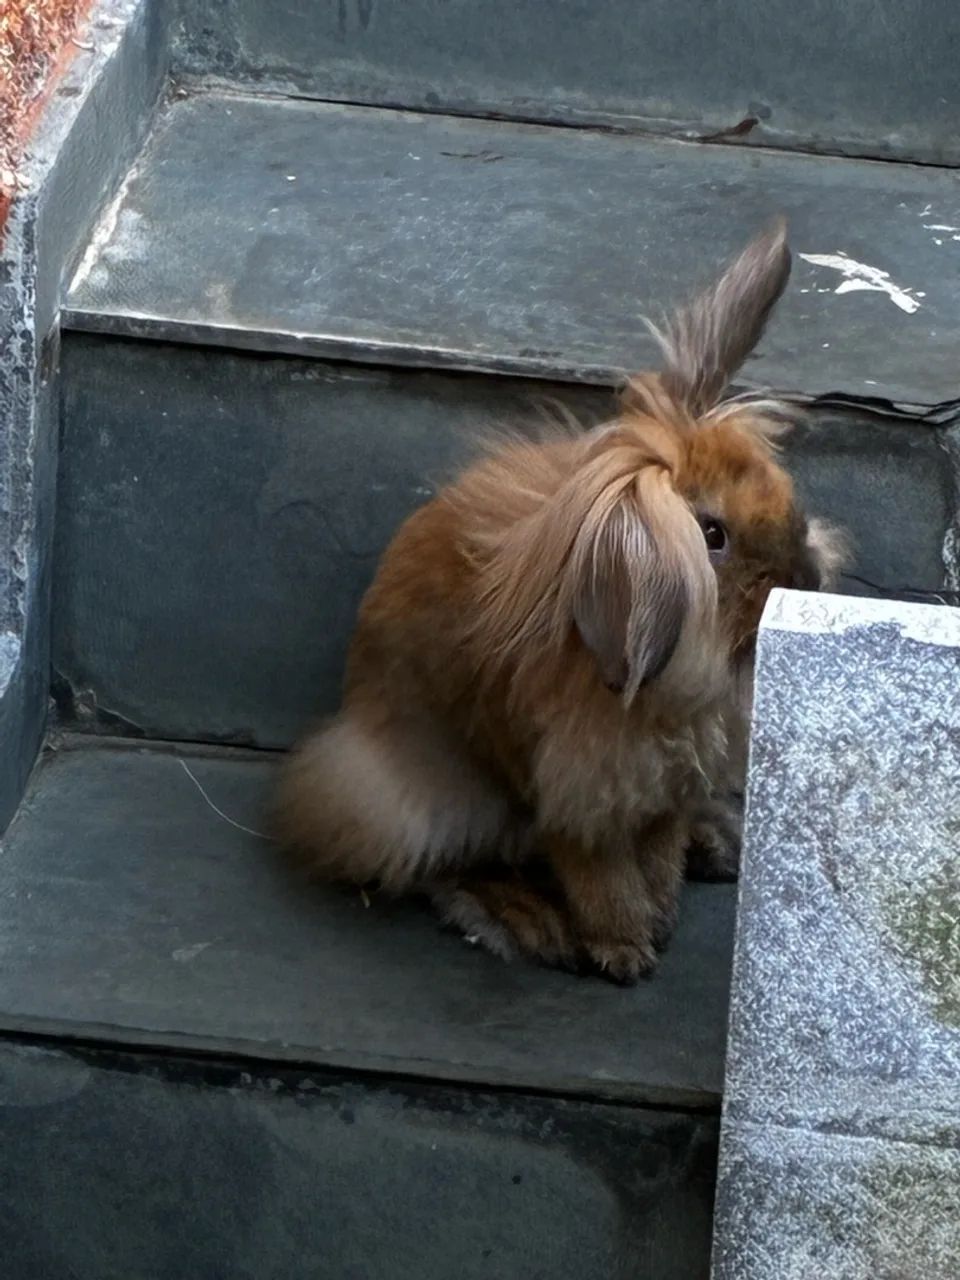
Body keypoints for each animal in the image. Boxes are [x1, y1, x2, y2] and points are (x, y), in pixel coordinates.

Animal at [276, 219, 848, 984]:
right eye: (713, 536)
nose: (805, 577)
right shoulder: (577, 796)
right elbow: (599, 878)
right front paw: (626, 951)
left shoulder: (668, 787)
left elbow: (659, 856)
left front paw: (660, 918)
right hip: (421, 793)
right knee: (427, 865)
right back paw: (522, 918)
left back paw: (716, 846)